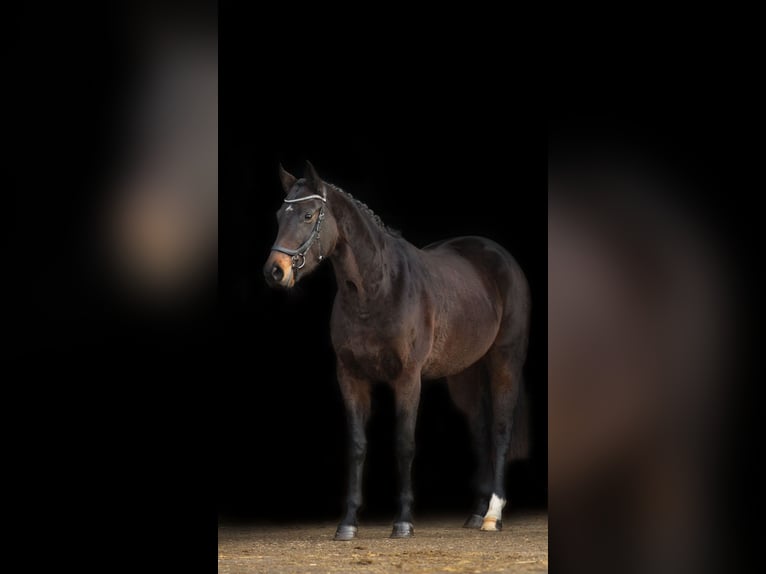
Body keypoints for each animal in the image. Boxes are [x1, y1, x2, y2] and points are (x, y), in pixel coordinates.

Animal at [260, 163, 532, 544]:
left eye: (308, 214)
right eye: (277, 215)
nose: (275, 271)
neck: (377, 289)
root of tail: (498, 256)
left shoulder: (407, 378)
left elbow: (404, 444)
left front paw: (403, 522)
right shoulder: (351, 377)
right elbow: (358, 445)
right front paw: (348, 523)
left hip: (504, 360)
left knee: (501, 428)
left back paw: (493, 514)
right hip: (465, 373)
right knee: (479, 428)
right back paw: (476, 513)